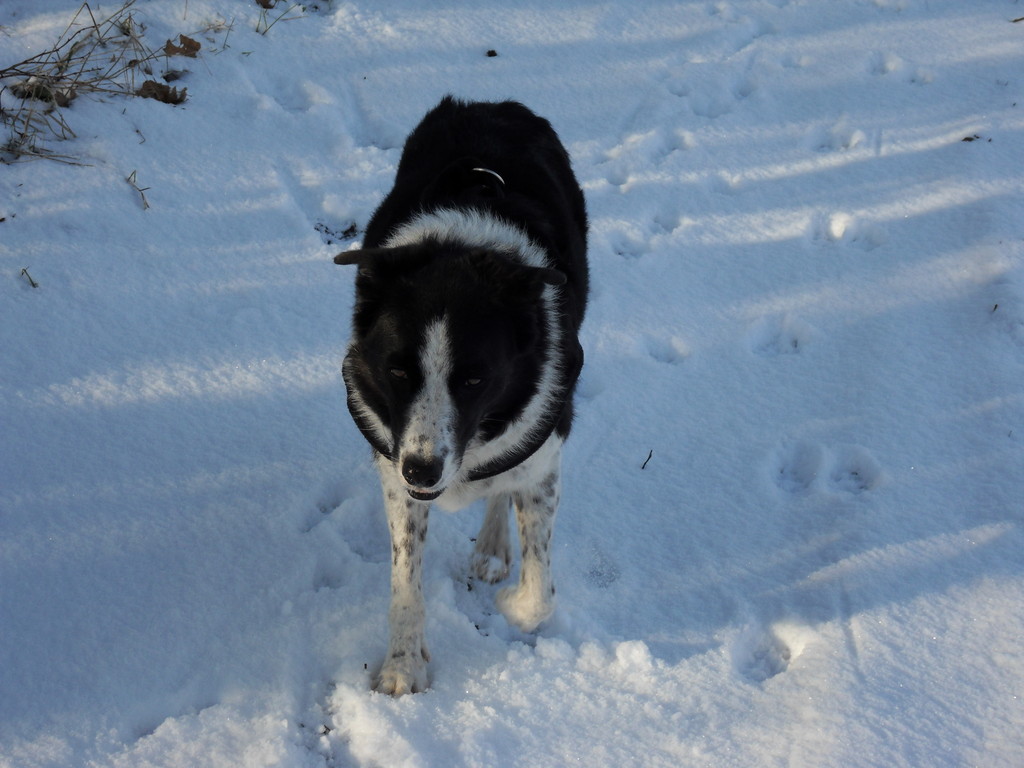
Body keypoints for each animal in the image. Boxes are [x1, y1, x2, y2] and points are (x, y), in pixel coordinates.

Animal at [333, 96, 589, 696]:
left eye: (475, 379)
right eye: (397, 371)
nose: (423, 471)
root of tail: (492, 104)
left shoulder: (544, 449)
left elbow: (539, 595)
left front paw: (513, 600)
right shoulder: (394, 467)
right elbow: (406, 584)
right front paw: (403, 666)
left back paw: (493, 549)